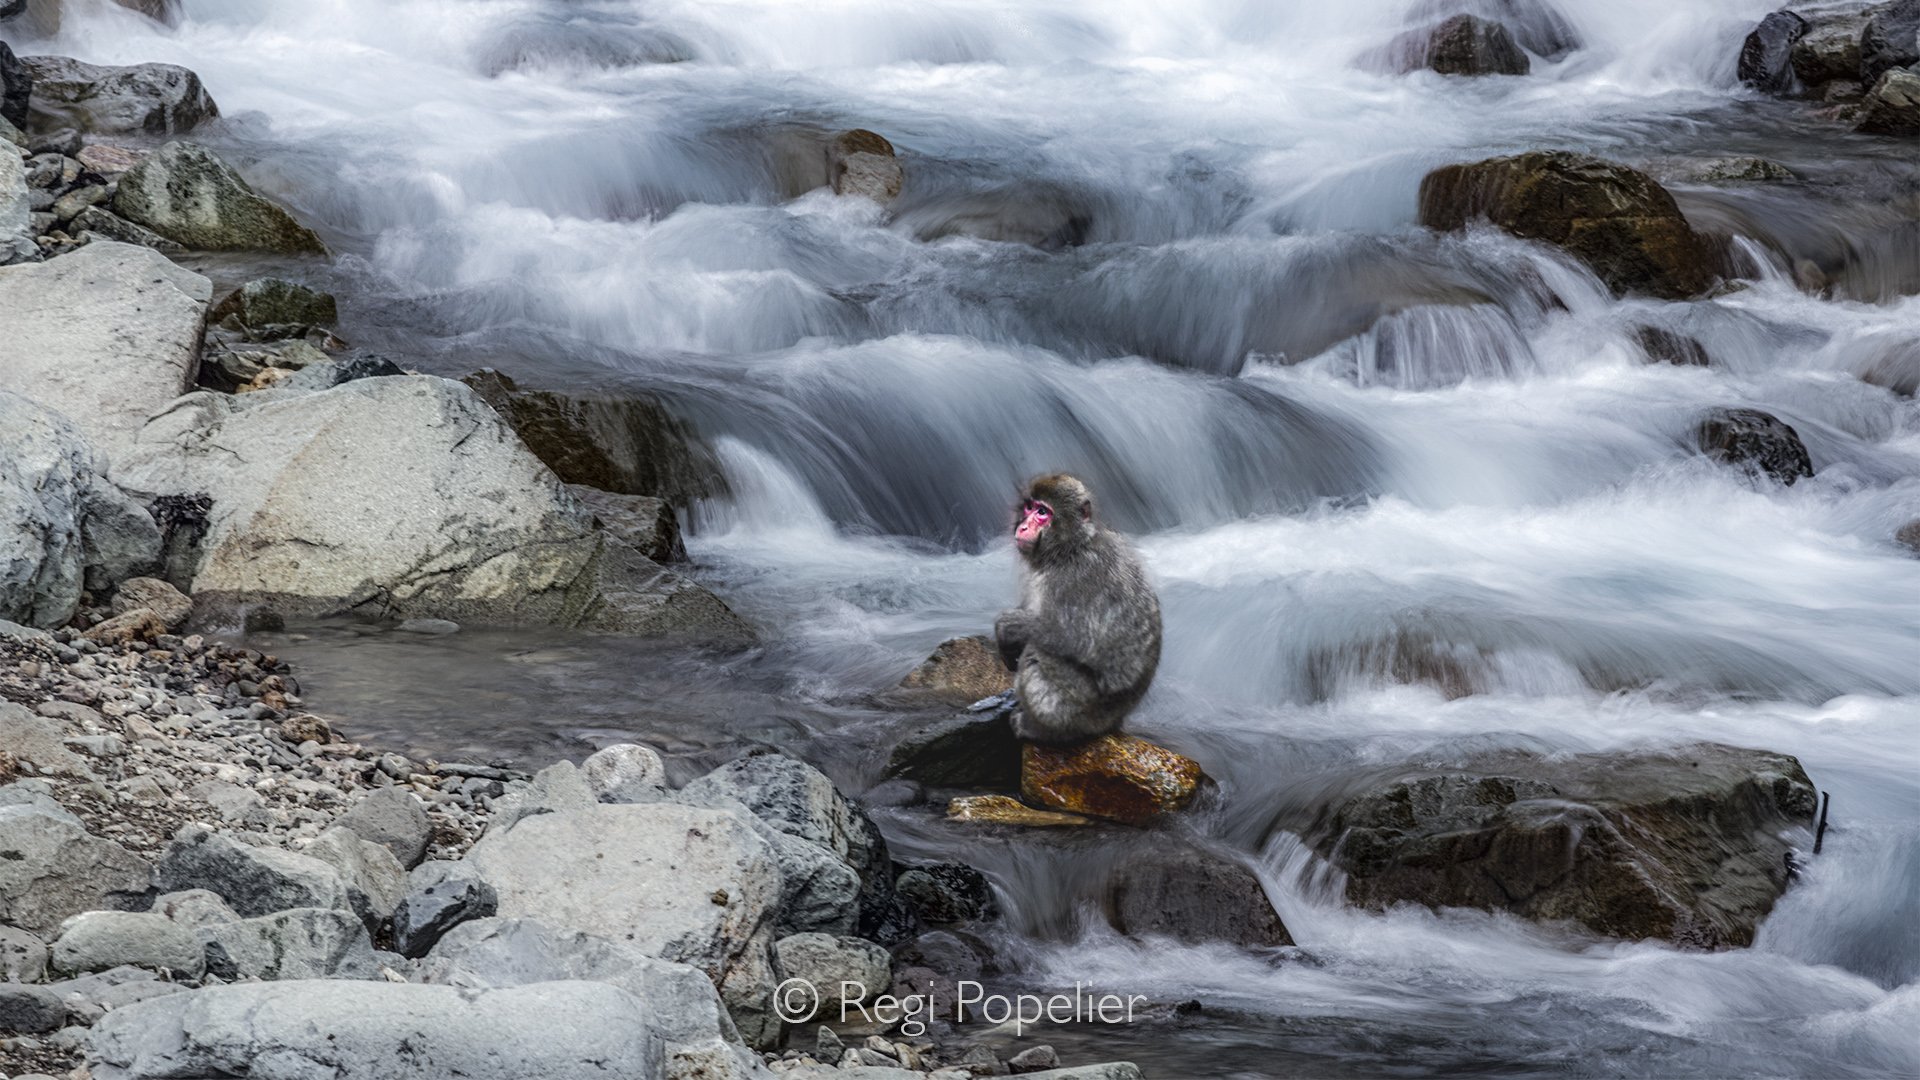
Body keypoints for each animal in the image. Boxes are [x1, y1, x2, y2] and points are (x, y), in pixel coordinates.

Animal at [993, 474, 1163, 745]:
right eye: (1029, 507)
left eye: (1043, 512)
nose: (1023, 527)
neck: (1069, 547)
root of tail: (1115, 720)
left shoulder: (1073, 578)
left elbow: (1075, 638)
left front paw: (1006, 627)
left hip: (1083, 709)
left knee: (1036, 653)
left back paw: (1040, 730)